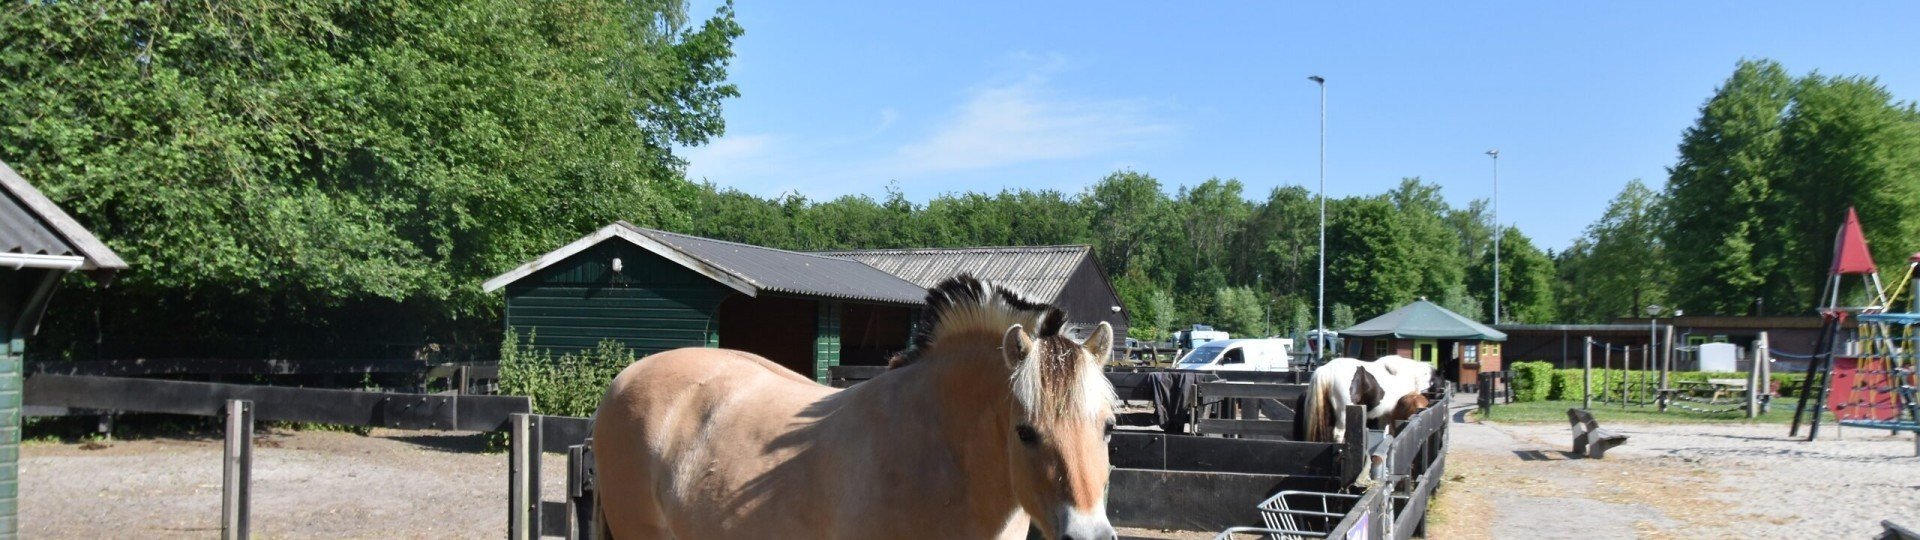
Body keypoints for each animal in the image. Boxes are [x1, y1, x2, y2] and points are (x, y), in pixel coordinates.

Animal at [1300, 355, 1436, 444]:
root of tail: (1327, 369)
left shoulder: (1385, 415)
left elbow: (1385, 431)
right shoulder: (1393, 414)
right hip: (1343, 414)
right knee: (1338, 433)